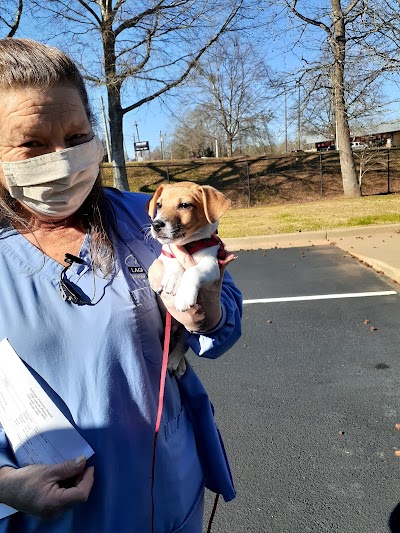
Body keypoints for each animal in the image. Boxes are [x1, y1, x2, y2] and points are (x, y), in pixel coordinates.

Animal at [147, 181, 231, 376]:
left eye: (185, 205)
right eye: (159, 205)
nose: (156, 224)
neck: (189, 244)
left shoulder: (212, 265)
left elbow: (192, 271)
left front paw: (184, 296)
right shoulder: (162, 256)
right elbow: (172, 259)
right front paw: (172, 281)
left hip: (187, 331)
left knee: (181, 345)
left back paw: (174, 362)